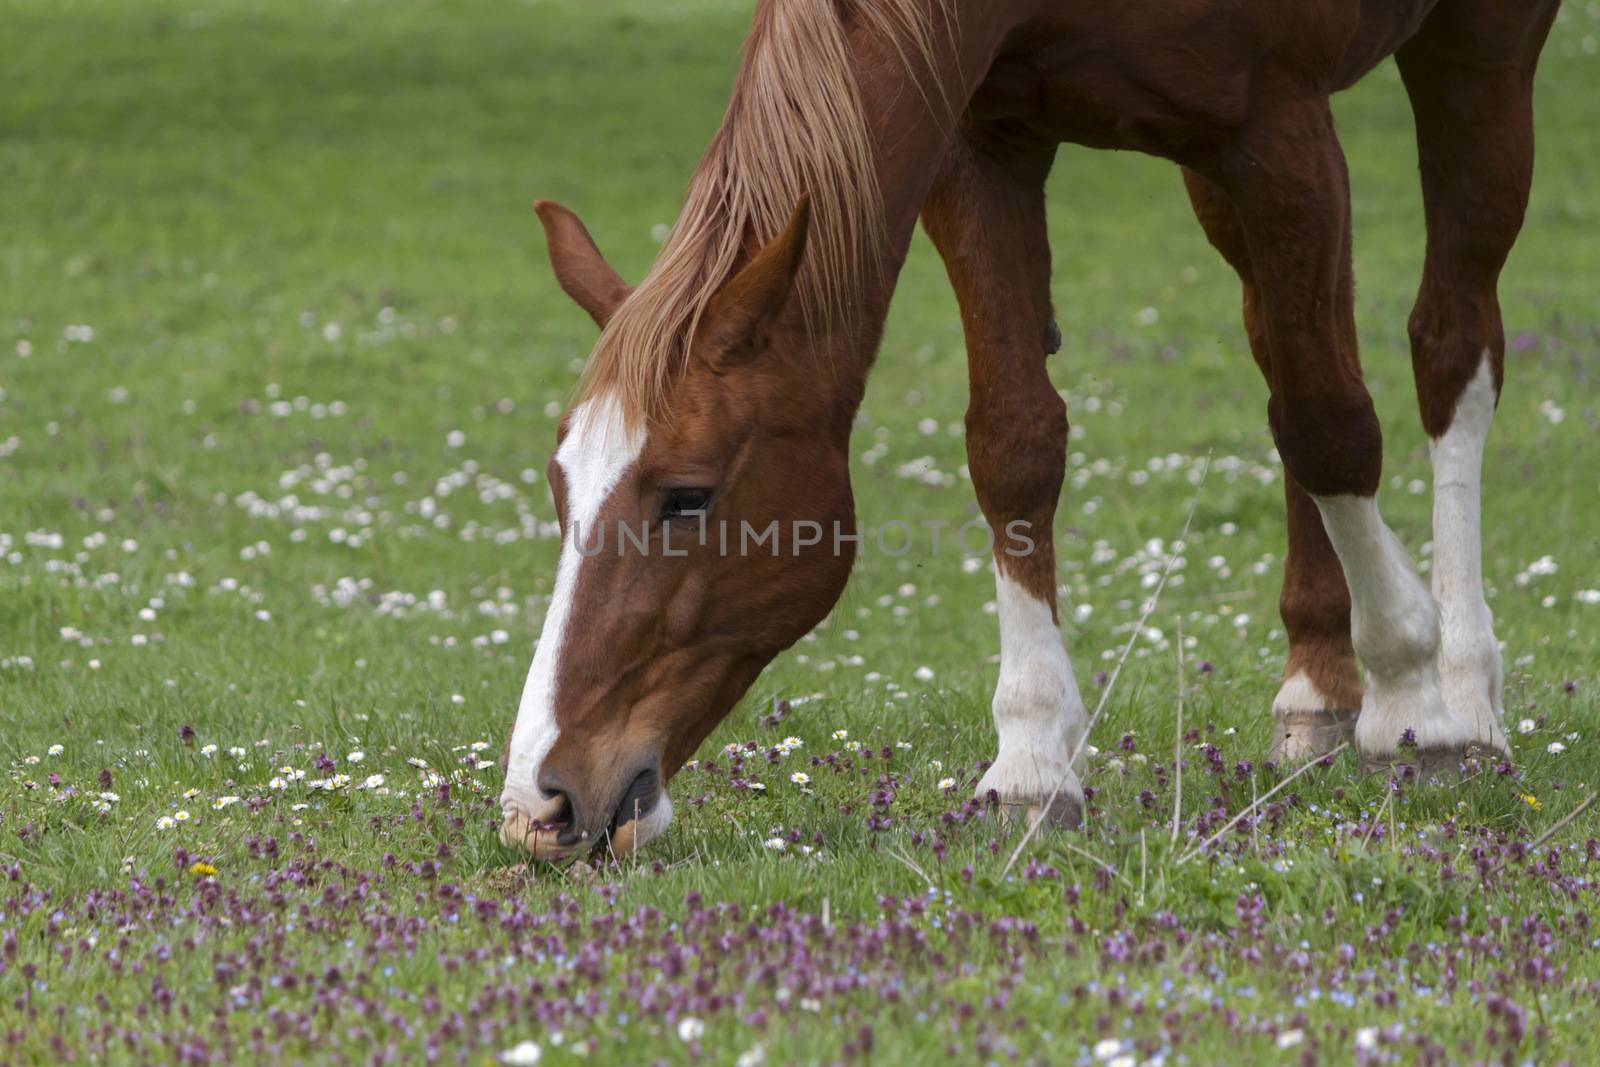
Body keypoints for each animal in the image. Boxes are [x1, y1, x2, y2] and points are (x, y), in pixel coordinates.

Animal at [502, 0, 1561, 857]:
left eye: (687, 495)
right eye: (560, 490)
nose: (540, 805)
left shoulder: (1278, 124)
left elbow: (1330, 418)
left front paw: (1412, 698)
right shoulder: (982, 145)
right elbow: (1013, 442)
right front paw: (1032, 758)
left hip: (1478, 50)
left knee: (1444, 347)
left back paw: (1464, 686)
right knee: (1282, 338)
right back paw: (1317, 684)